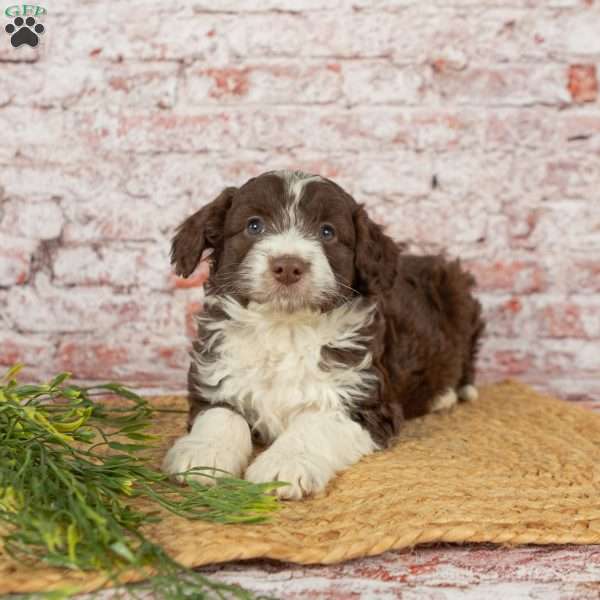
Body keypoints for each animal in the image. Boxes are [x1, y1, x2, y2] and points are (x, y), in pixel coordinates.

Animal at [162, 170, 486, 502]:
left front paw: (284, 464)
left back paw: (447, 394)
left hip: (458, 292)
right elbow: (221, 415)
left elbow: (315, 423)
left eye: (327, 232)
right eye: (254, 225)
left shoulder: (364, 402)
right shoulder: (216, 377)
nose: (288, 266)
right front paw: (204, 453)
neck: (285, 328)